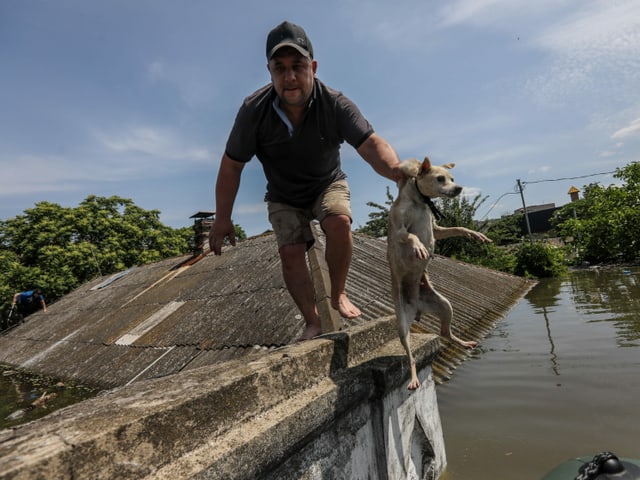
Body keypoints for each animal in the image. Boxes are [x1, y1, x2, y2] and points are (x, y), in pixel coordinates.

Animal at [384, 158, 490, 390]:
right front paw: (419, 248)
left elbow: (457, 228)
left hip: (444, 305)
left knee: (445, 332)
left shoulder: (437, 229)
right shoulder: (399, 229)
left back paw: (463, 342)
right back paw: (414, 377)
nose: (459, 188)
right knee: (411, 357)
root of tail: (417, 308)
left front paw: (475, 234)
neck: (420, 202)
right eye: (440, 179)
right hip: (403, 325)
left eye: (452, 178)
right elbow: (411, 235)